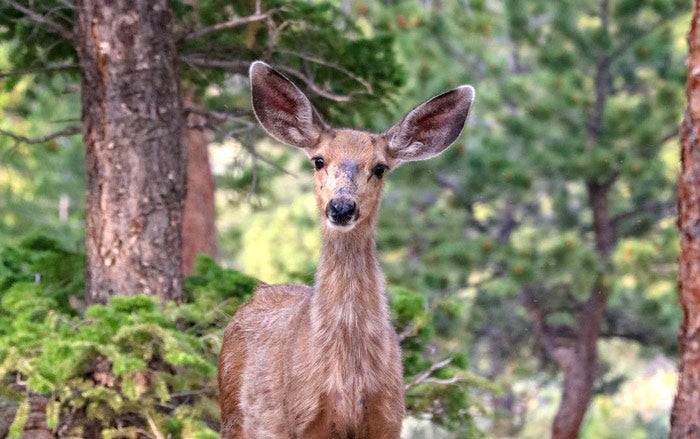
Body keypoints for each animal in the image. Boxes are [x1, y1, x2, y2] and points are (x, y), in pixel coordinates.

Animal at [218, 61, 475, 439]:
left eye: (380, 167)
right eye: (318, 160)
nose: (341, 207)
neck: (349, 377)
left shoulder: (388, 420)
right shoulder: (306, 420)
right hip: (234, 417)